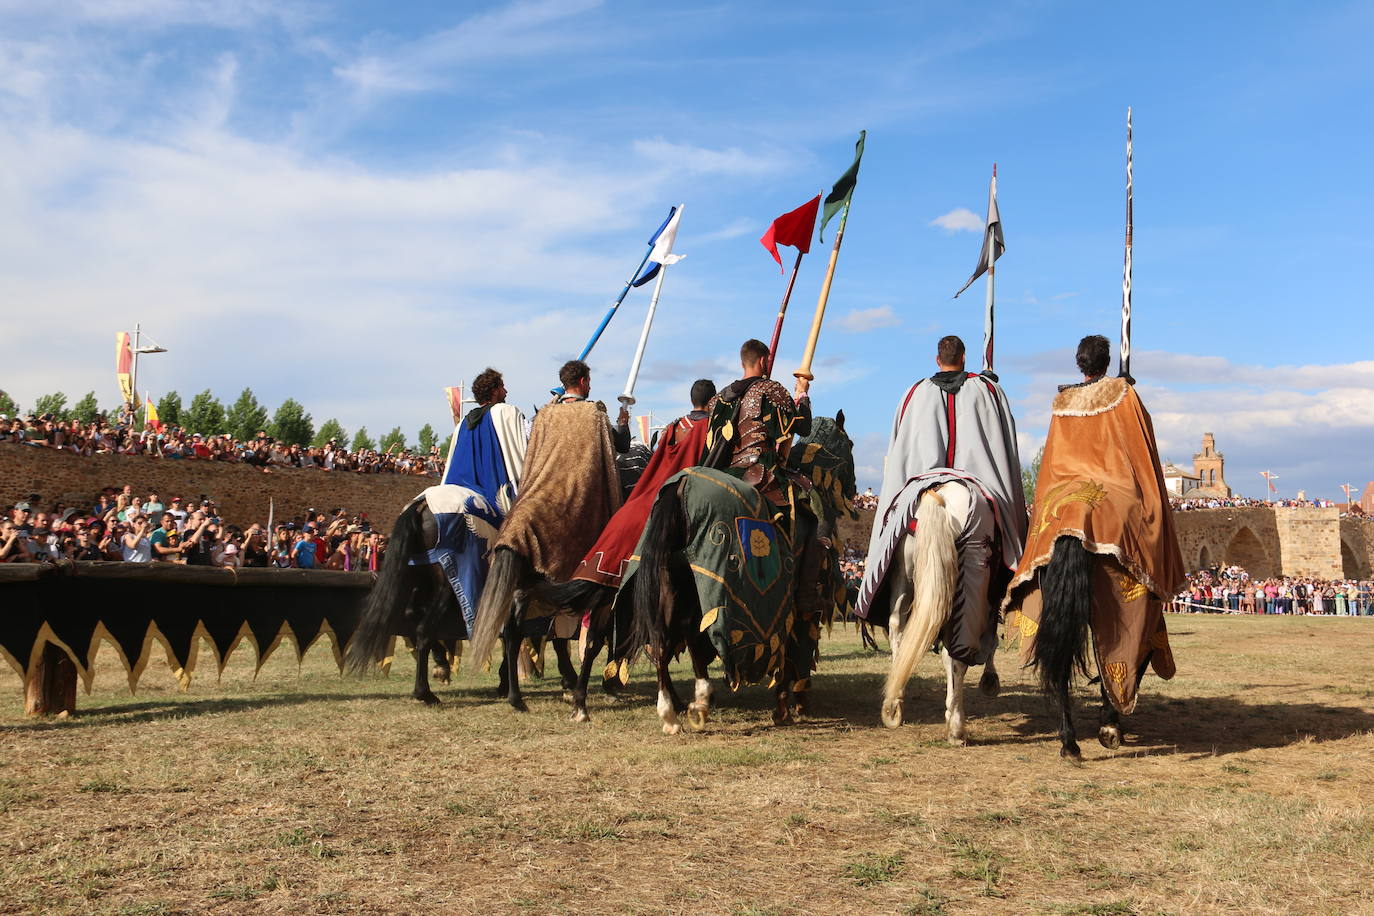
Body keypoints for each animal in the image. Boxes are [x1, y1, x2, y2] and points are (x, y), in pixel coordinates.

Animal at [623, 414, 846, 736]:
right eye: (849, 445)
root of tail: (681, 487)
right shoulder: (797, 607)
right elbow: (792, 653)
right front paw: (788, 706)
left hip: (674, 585)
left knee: (667, 640)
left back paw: (675, 712)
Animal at [873, 480, 1005, 747]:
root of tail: (940, 496)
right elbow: (991, 639)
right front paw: (990, 680)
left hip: (903, 577)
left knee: (897, 629)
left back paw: (893, 703)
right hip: (971, 586)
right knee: (955, 655)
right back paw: (956, 725)